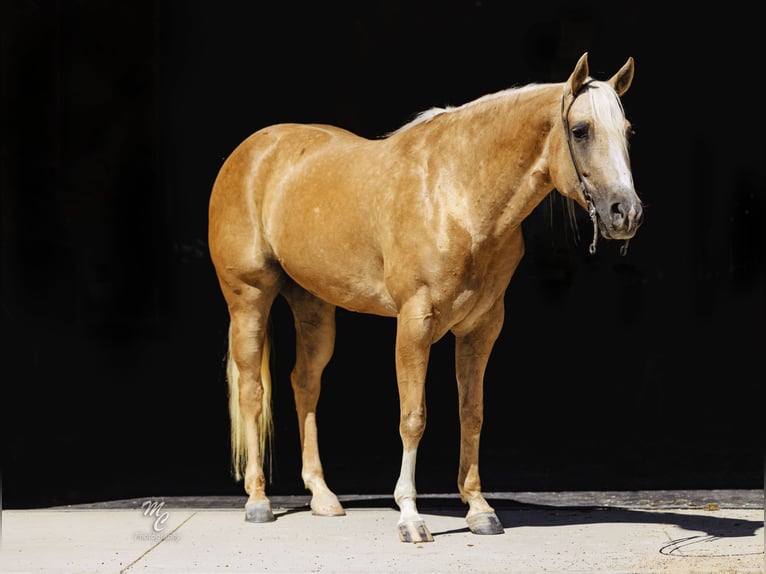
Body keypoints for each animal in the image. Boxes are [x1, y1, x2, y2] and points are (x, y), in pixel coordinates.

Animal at [208, 52, 642, 543]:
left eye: (627, 132)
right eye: (581, 130)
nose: (626, 213)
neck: (457, 195)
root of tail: (249, 152)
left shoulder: (481, 328)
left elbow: (472, 413)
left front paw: (479, 509)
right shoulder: (414, 323)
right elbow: (413, 416)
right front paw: (411, 517)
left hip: (313, 305)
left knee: (305, 383)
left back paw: (322, 496)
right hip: (248, 299)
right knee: (252, 390)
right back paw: (258, 500)